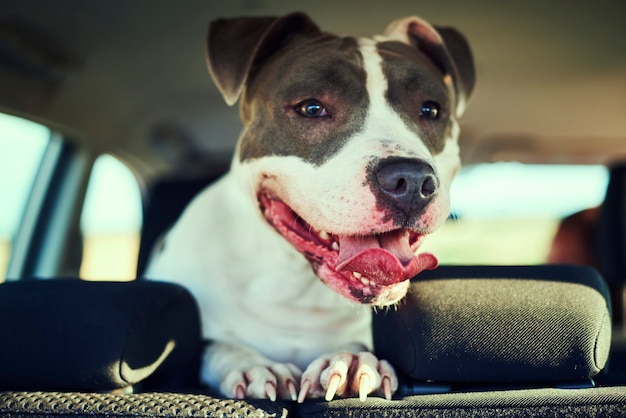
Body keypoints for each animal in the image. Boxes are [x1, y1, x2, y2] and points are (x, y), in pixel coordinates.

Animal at [146, 12, 476, 402]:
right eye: (312, 108)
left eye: (430, 109)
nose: (409, 181)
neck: (296, 287)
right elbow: (216, 347)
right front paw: (252, 364)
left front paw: (351, 359)